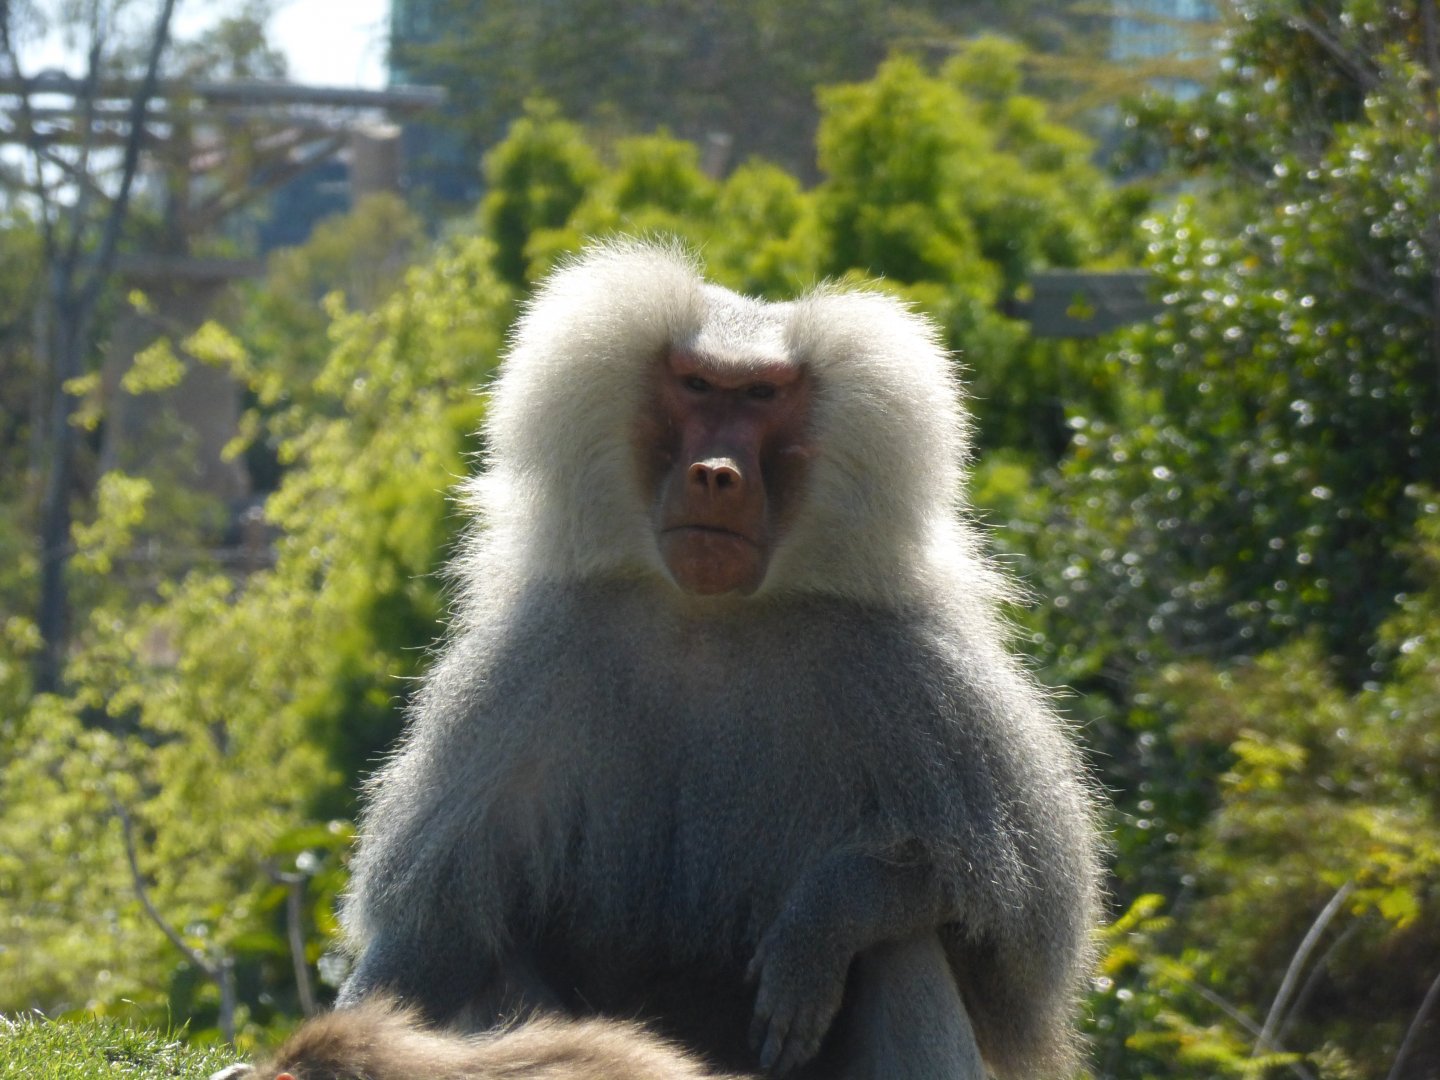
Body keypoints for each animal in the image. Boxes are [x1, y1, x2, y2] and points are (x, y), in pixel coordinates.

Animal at [336, 239, 1105, 1079]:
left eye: (763, 394)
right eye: (699, 385)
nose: (715, 474)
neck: (710, 621)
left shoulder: (918, 674)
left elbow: (1018, 922)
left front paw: (816, 930)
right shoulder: (528, 669)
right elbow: (434, 939)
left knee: (901, 946)